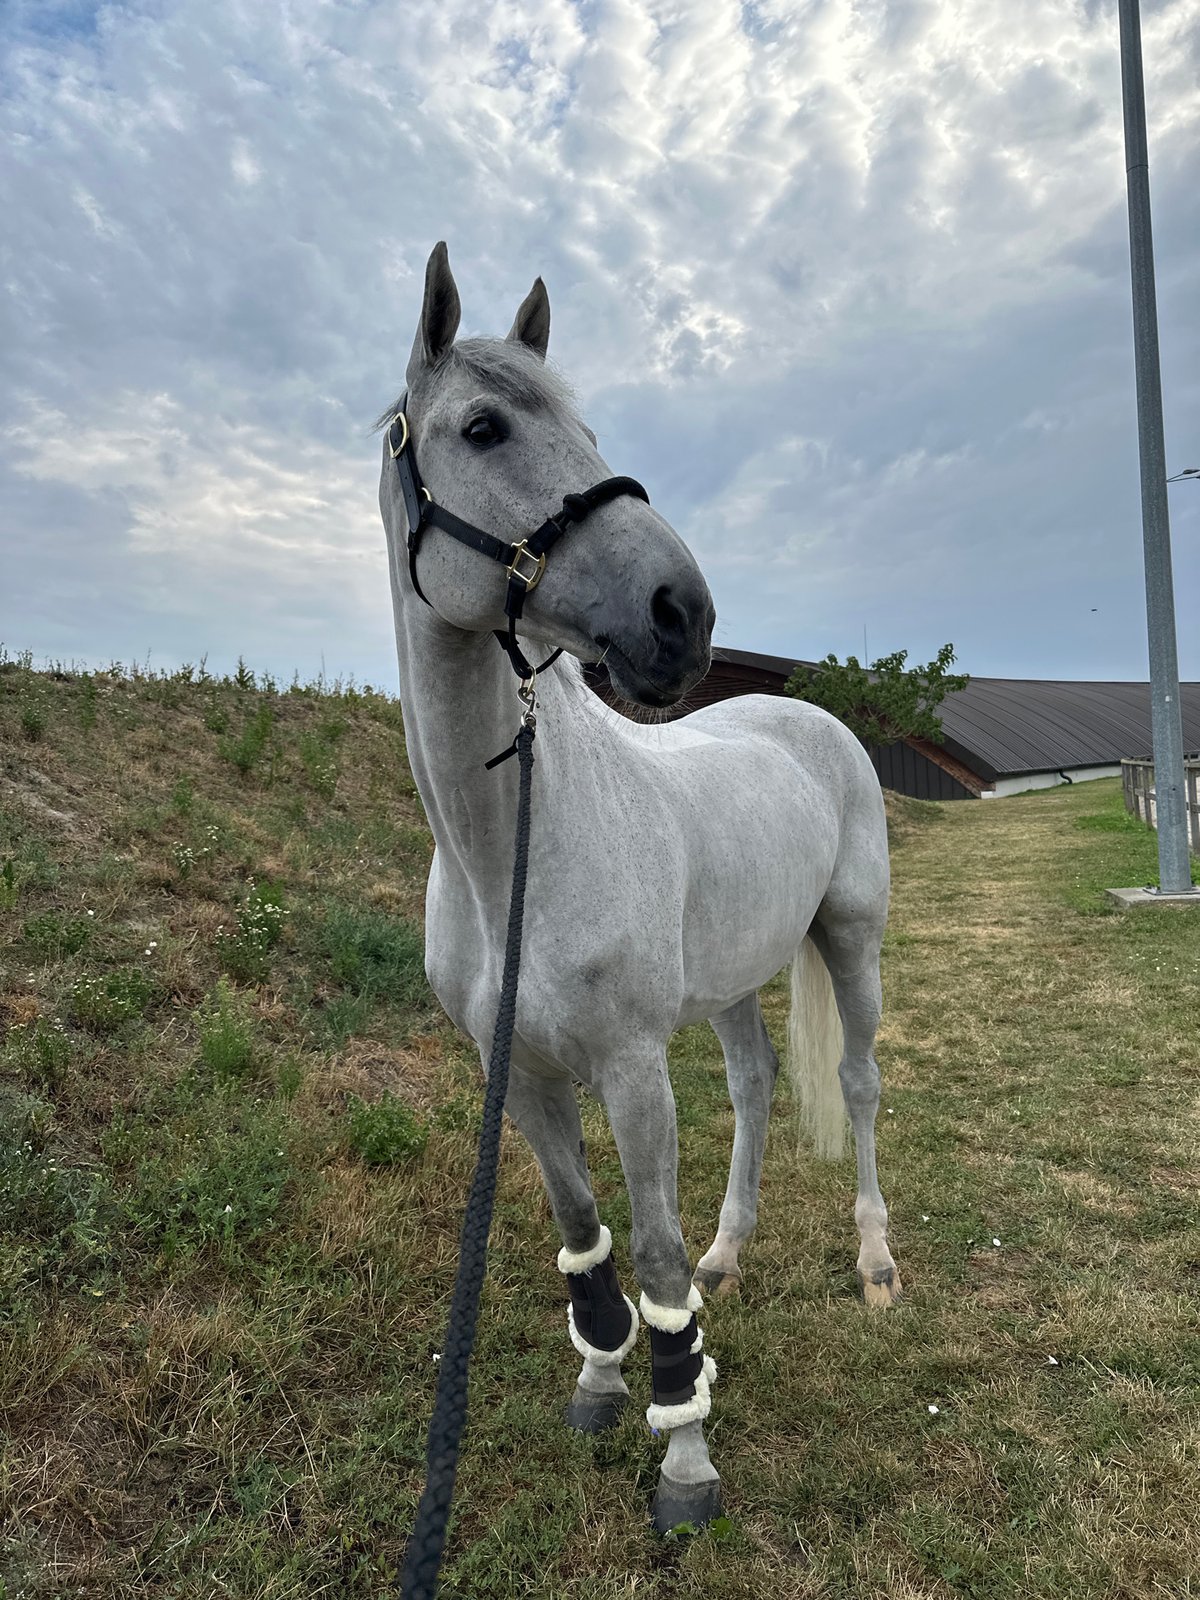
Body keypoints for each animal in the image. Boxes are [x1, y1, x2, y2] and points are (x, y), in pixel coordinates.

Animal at [378, 242, 901, 1534]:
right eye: (483, 427)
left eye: (587, 426)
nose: (684, 613)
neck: (512, 856)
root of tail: (814, 717)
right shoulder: (519, 1075)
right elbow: (584, 1229)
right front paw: (605, 1380)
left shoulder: (629, 1068)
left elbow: (653, 1250)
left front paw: (685, 1457)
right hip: (733, 982)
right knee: (759, 1090)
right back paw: (733, 1252)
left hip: (852, 942)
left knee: (859, 1088)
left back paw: (874, 1261)